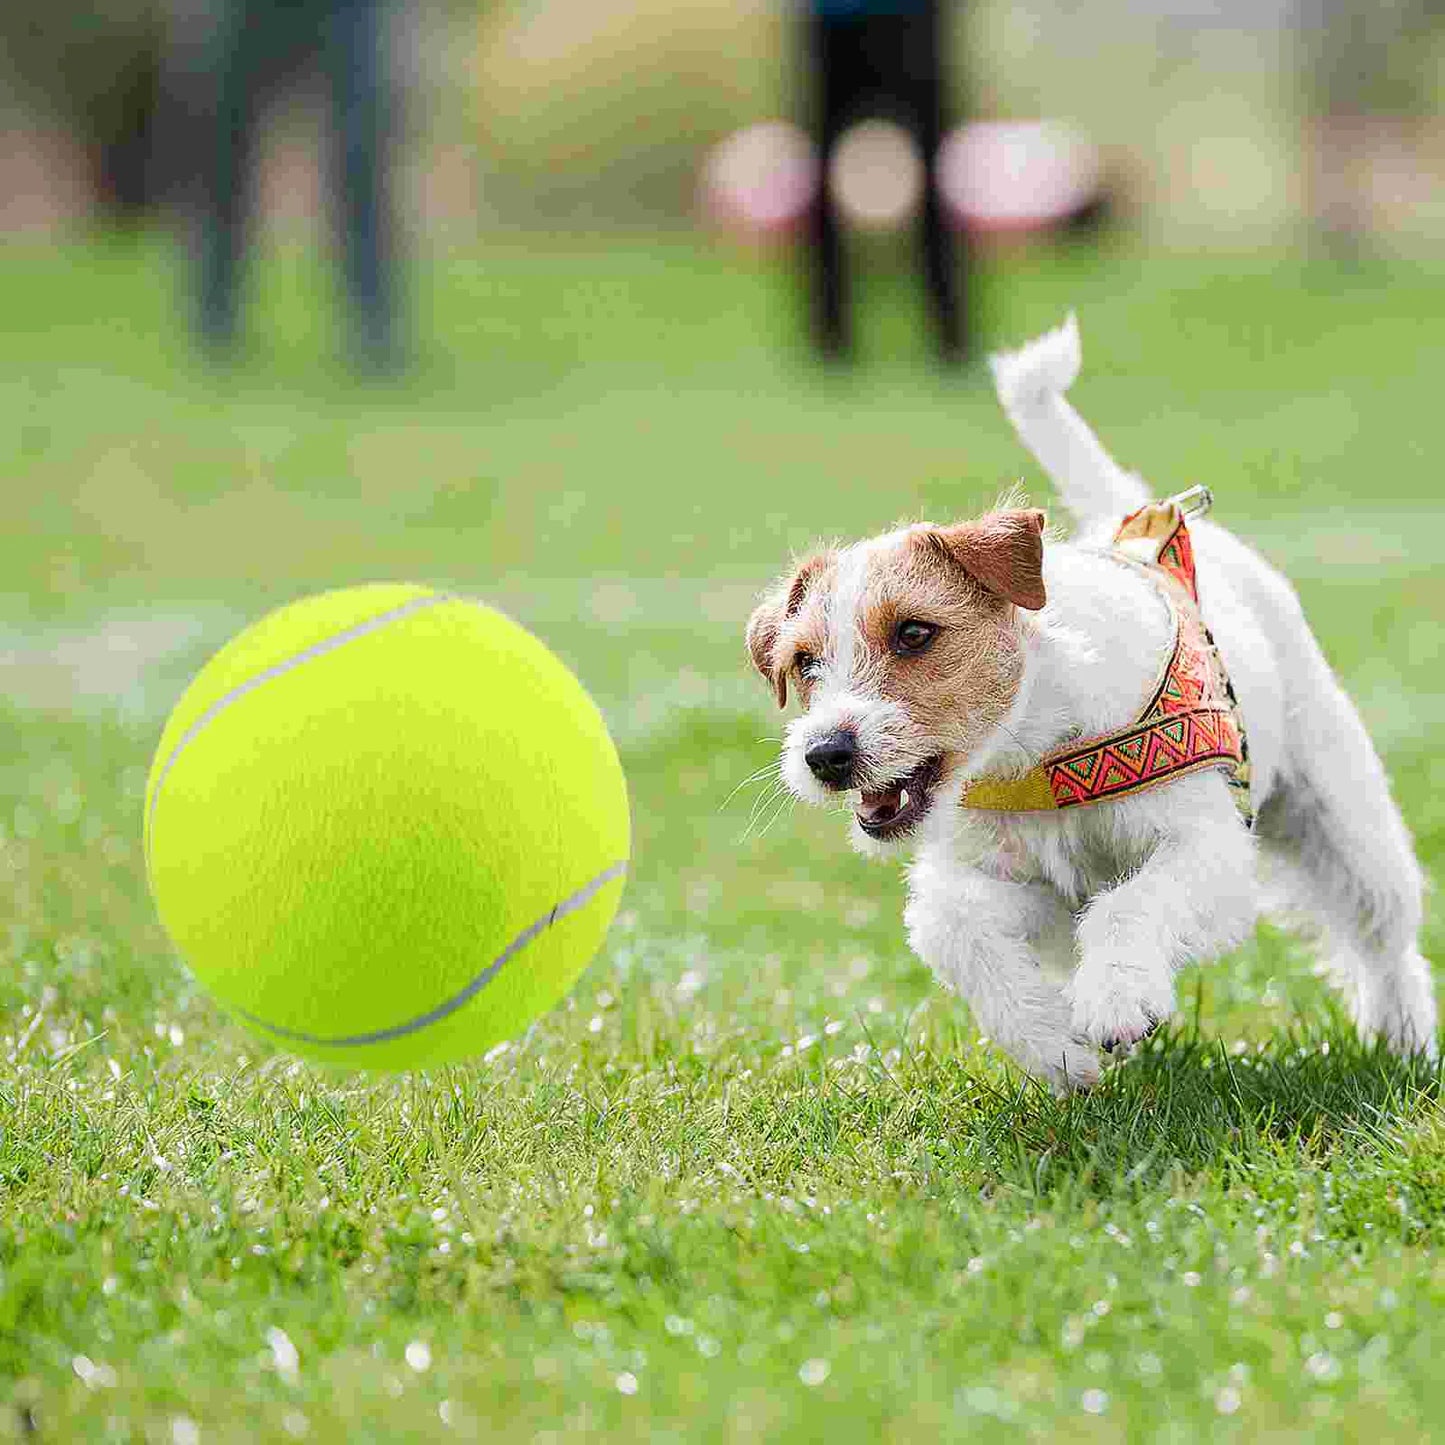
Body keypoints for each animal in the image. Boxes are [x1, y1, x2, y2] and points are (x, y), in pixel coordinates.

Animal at [745, 313, 1433, 1086]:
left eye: (914, 632)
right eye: (803, 661)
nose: (824, 754)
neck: (1038, 749)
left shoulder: (1207, 848)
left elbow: (1129, 904)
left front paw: (1115, 1000)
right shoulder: (1026, 888)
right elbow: (953, 928)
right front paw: (1052, 1045)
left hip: (1345, 820)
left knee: (1385, 937)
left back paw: (1405, 1038)